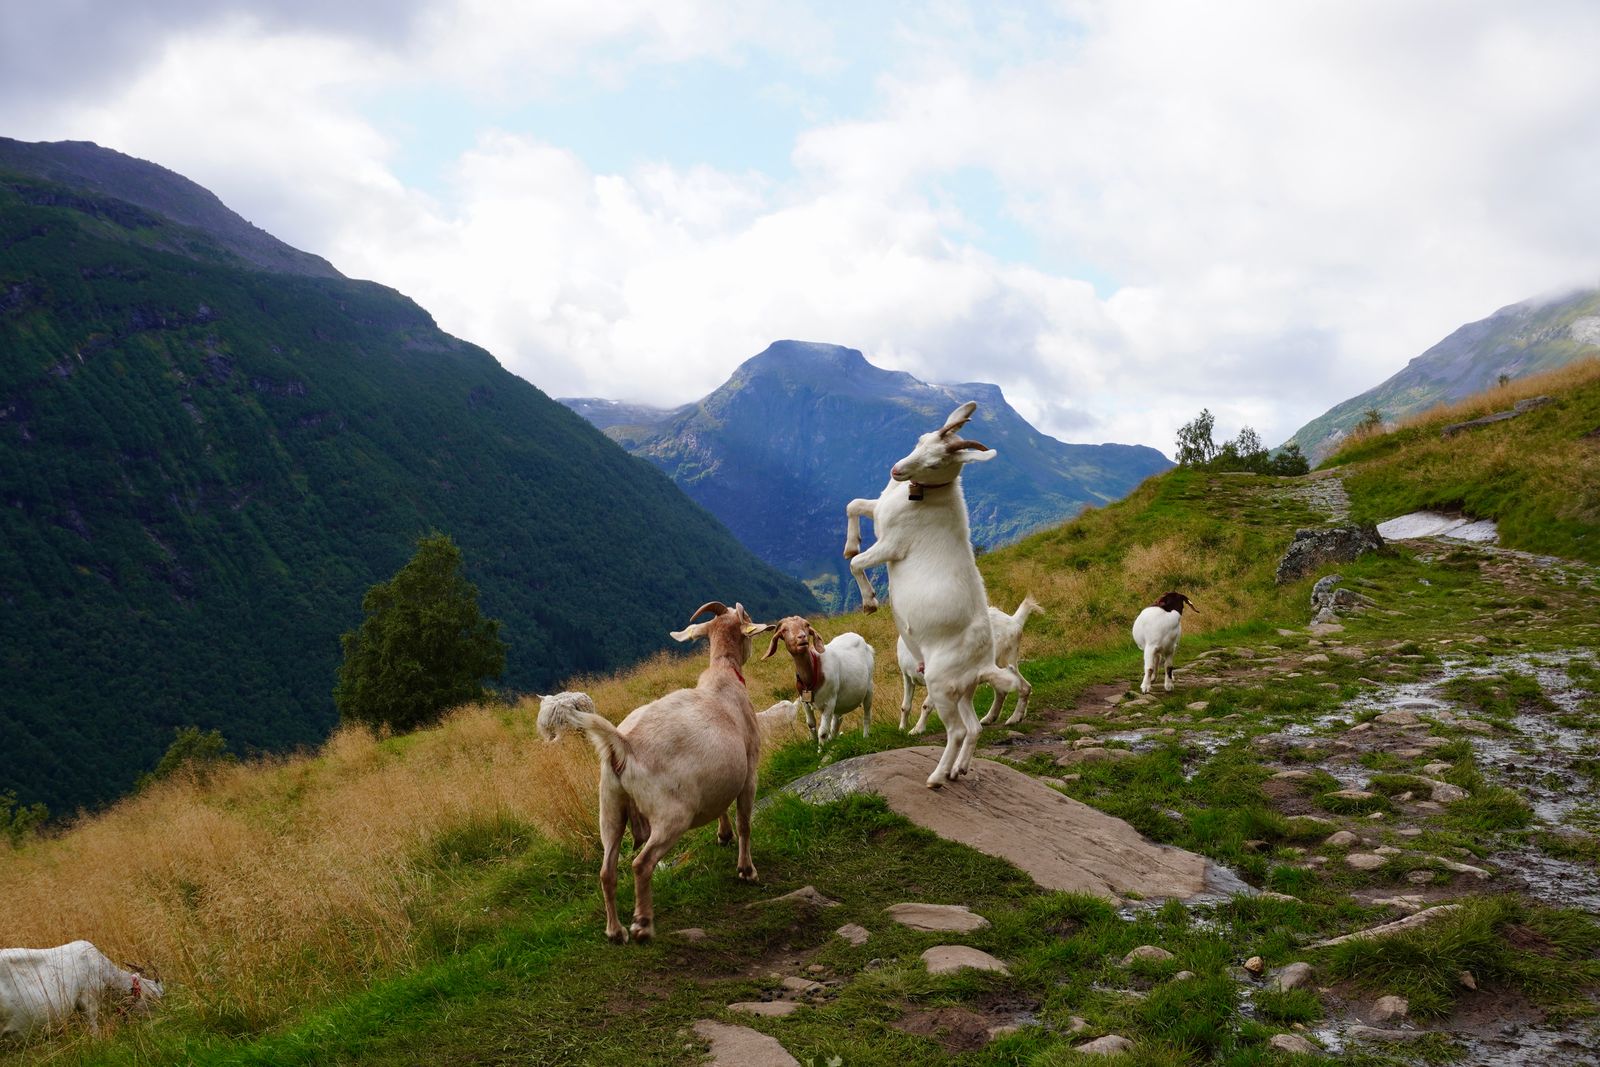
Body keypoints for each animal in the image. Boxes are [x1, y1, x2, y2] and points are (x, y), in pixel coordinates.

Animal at [537, 601, 773, 944]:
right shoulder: (750, 769)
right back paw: (642, 925)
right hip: (671, 814)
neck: (723, 677)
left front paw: (723, 834)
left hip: (610, 808)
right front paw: (746, 870)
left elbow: (722, 805)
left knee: (606, 871)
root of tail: (623, 746)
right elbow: (745, 822)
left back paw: (615, 931)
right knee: (641, 864)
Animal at [899, 595, 1040, 732]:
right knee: (1004, 691)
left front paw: (916, 730)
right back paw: (990, 718)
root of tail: (1014, 621)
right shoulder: (907, 677)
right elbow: (905, 706)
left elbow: (926, 705)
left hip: (1003, 662)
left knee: (1021, 687)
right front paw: (902, 728)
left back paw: (1013, 719)